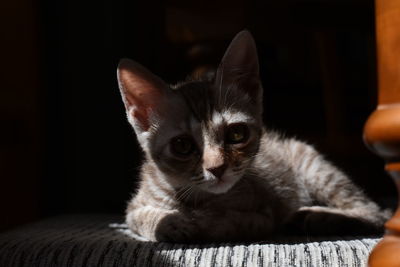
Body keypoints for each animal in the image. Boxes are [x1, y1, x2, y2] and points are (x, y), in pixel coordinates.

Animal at [116, 30, 390, 244]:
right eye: (182, 145)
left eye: (236, 134)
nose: (217, 168)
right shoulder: (133, 206)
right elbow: (141, 217)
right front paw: (170, 221)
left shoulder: (264, 215)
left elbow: (229, 223)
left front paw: (201, 221)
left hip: (316, 168)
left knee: (374, 212)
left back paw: (316, 216)